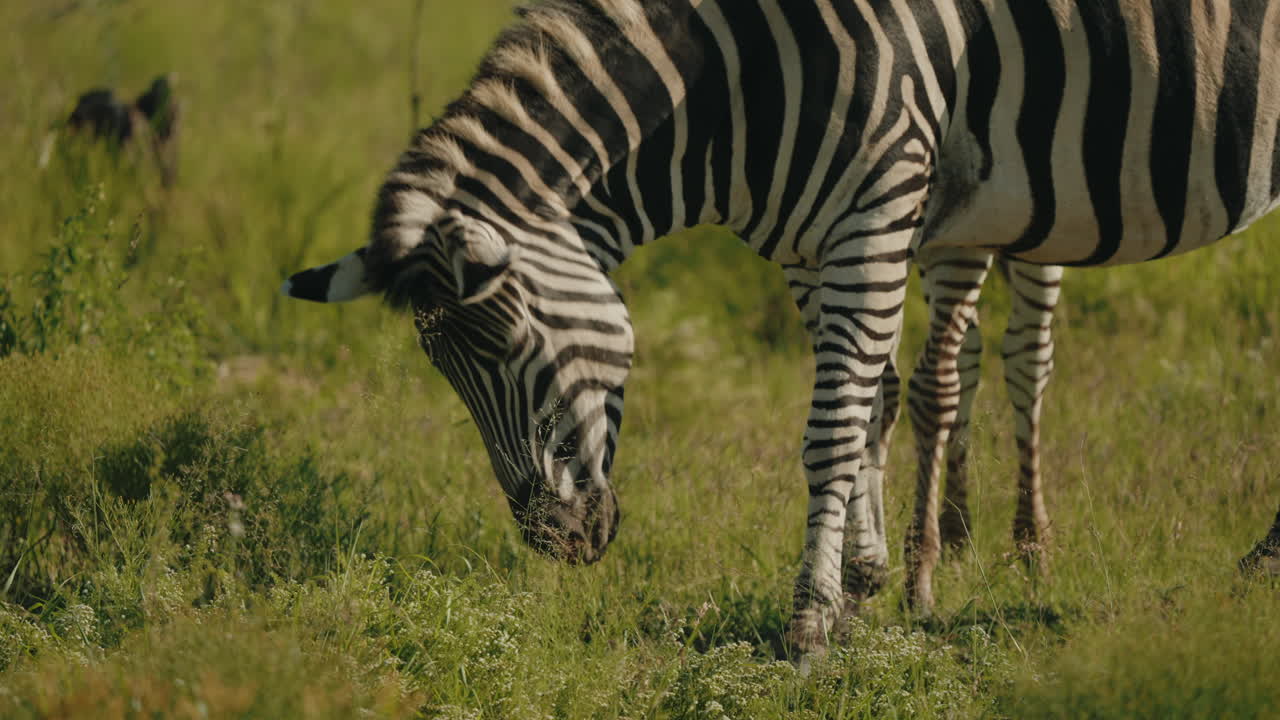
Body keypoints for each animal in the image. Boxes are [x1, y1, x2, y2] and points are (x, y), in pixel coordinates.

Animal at [284, 0, 1280, 654]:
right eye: (448, 375)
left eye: (509, 348)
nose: (553, 542)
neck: (724, 91)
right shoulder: (816, 241)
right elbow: (874, 401)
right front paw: (866, 584)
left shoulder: (877, 211)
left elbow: (834, 429)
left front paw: (809, 621)